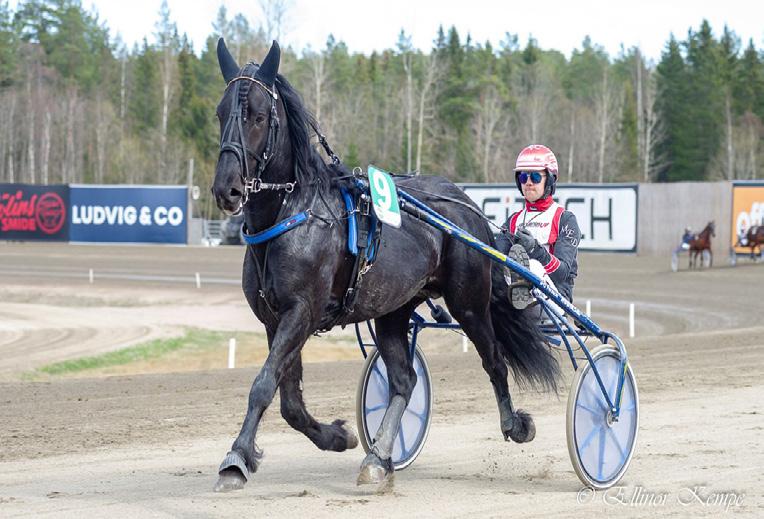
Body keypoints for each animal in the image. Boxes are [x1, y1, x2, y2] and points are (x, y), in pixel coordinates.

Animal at [210, 39, 560, 492]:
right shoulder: (276, 318)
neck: (291, 213)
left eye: (257, 114)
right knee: (404, 380)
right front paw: (336, 436)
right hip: (394, 308)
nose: (227, 189)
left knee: (494, 360)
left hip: (468, 302)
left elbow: (263, 385)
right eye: (220, 113)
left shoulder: (302, 312)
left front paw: (235, 459)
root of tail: (465, 203)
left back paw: (515, 424)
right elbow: (288, 401)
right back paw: (378, 457)